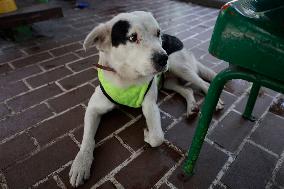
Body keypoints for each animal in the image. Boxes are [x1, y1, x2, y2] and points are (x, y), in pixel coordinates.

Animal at [69, 11, 224, 187]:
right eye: (132, 37)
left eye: (158, 33)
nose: (163, 58)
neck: (127, 80)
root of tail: (175, 38)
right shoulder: (93, 108)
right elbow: (87, 139)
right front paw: (81, 163)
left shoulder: (150, 105)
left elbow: (158, 137)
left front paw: (147, 135)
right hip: (168, 81)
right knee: (188, 89)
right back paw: (191, 107)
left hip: (179, 66)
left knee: (203, 83)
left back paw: (214, 102)